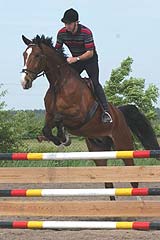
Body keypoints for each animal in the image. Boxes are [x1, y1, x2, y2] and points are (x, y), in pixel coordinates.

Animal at [21, 35, 160, 201]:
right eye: (24, 54)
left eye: (37, 55)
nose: (24, 81)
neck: (58, 84)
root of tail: (119, 113)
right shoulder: (48, 114)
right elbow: (47, 128)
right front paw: (59, 139)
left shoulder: (79, 116)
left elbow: (59, 118)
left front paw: (62, 137)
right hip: (98, 151)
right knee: (108, 184)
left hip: (123, 145)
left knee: (133, 178)